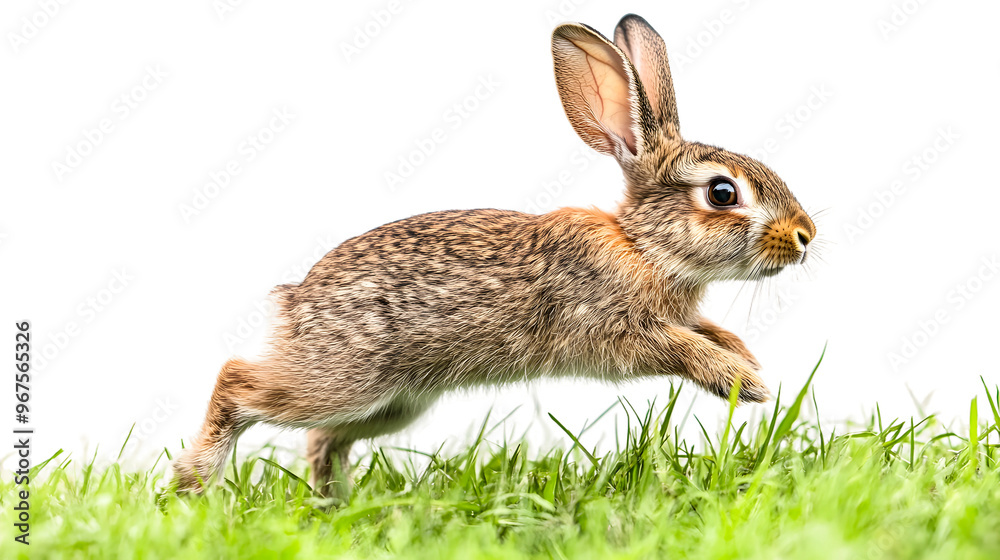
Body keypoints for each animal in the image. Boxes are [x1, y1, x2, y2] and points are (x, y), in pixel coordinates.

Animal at [172, 13, 816, 499]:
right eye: (723, 193)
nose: (805, 235)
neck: (643, 246)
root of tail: (296, 303)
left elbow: (707, 329)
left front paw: (746, 359)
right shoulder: (613, 331)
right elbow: (679, 348)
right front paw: (745, 385)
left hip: (390, 404)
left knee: (323, 440)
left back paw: (334, 504)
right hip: (342, 379)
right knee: (238, 382)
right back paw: (193, 483)